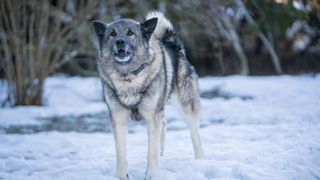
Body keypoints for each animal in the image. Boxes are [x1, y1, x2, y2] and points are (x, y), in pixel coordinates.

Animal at [92, 11, 202, 180]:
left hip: (186, 106)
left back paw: (200, 162)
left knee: (195, 133)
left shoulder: (152, 117)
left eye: (130, 33)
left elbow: (152, 152)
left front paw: (151, 175)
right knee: (164, 124)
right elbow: (121, 153)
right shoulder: (119, 118)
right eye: (112, 33)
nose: (120, 41)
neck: (128, 77)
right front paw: (123, 176)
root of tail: (174, 46)